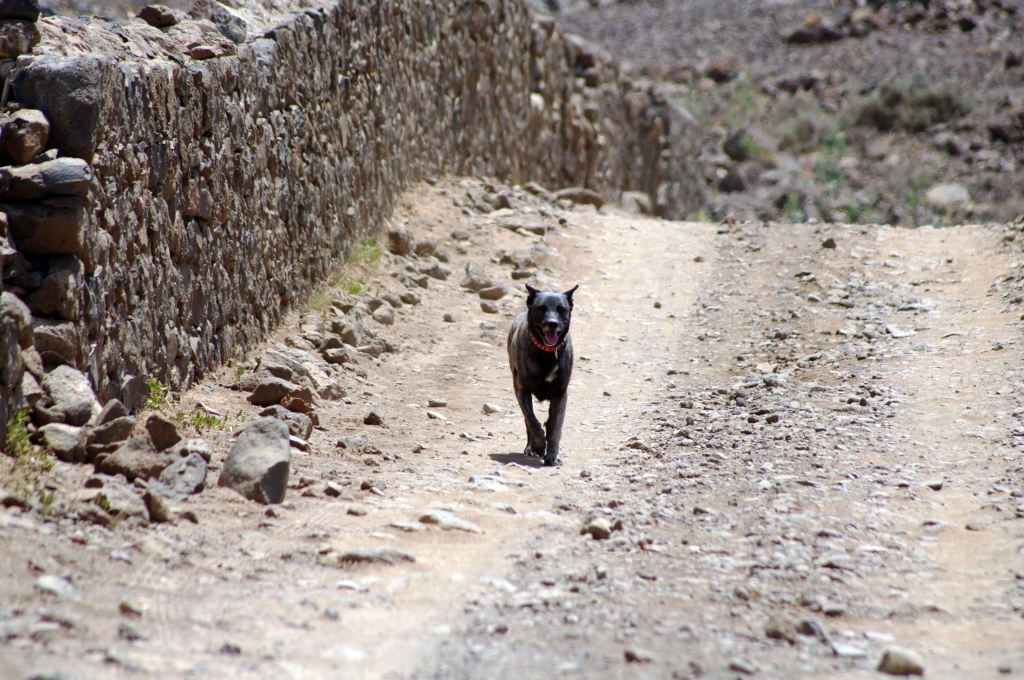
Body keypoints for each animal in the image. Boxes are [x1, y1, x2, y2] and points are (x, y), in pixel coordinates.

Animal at [509, 282, 581, 466]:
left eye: (562, 309)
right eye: (541, 308)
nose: (552, 323)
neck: (546, 352)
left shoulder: (560, 395)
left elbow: (555, 429)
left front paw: (552, 456)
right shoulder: (522, 391)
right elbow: (532, 421)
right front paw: (539, 445)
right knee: (528, 421)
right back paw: (531, 447)